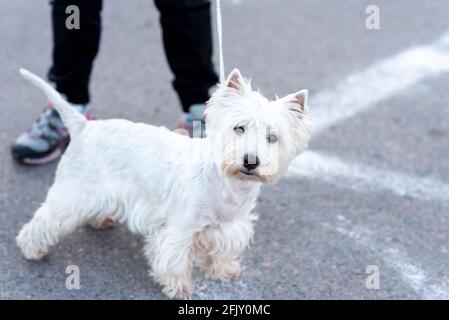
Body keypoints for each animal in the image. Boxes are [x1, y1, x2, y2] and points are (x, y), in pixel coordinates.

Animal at [18, 67, 312, 298]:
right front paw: (180, 288)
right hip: (72, 193)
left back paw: (100, 220)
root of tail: (84, 127)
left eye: (272, 137)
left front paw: (223, 271)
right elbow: (174, 259)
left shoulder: (231, 225)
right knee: (44, 220)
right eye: (238, 128)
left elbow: (223, 251)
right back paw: (32, 249)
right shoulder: (180, 229)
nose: (250, 161)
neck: (228, 184)